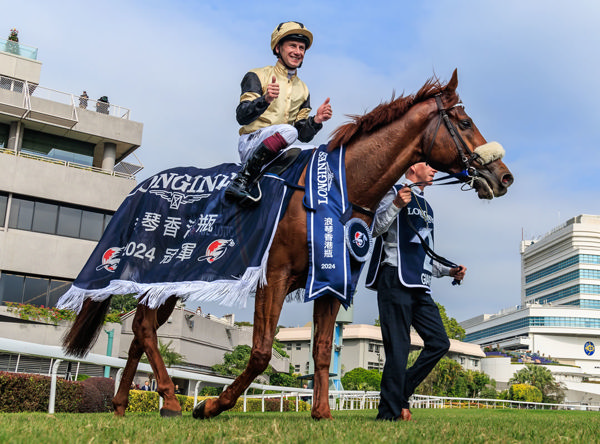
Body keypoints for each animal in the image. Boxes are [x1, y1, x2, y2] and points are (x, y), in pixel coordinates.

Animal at [61, 70, 512, 420]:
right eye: (465, 122)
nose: (504, 176)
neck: (337, 192)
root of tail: (139, 189)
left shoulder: (330, 281)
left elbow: (324, 349)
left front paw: (322, 413)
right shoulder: (273, 276)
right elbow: (261, 351)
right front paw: (211, 405)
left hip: (170, 279)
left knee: (142, 330)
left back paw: (125, 404)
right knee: (144, 329)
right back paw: (172, 400)